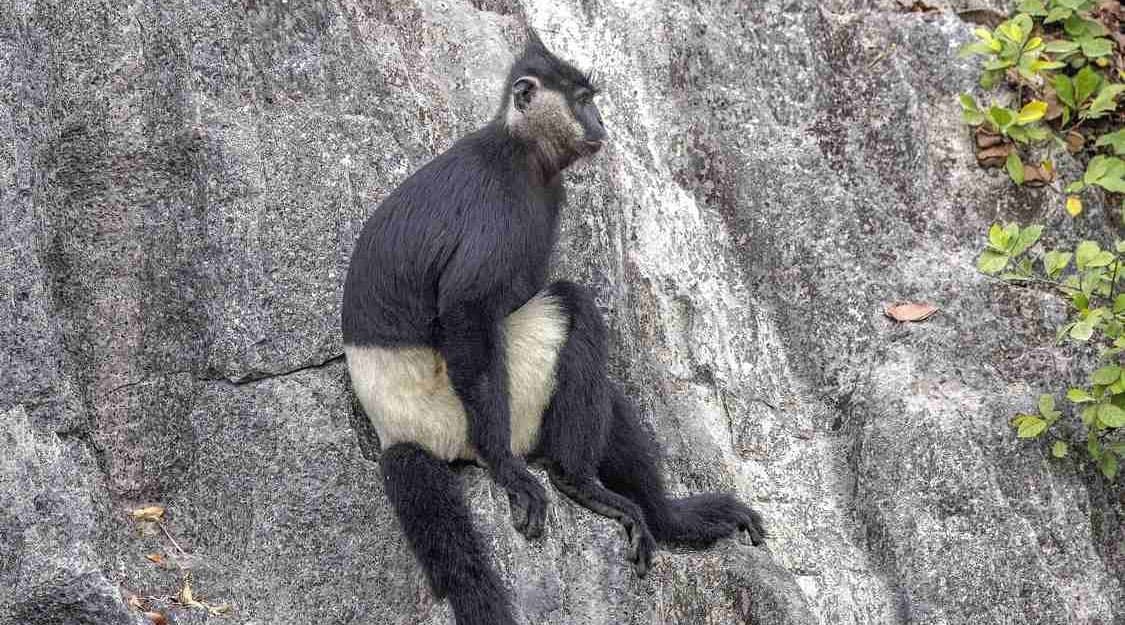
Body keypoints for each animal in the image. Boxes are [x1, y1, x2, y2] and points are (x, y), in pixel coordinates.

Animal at [342, 30, 766, 625]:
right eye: (583, 100)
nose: (600, 124)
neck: (519, 151)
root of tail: (395, 429)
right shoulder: (496, 205)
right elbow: (468, 312)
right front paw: (507, 470)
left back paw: (668, 517)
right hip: (461, 411)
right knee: (572, 309)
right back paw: (577, 482)